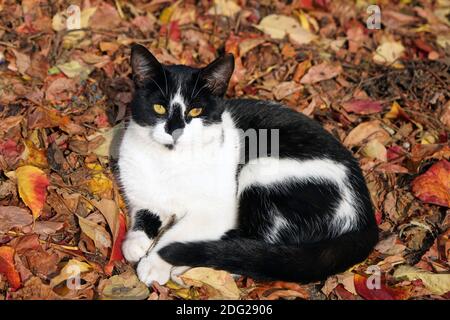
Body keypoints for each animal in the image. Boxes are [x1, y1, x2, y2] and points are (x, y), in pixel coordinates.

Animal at [118, 44, 378, 284]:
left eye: (196, 110)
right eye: (159, 108)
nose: (175, 130)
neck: (168, 161)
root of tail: (367, 218)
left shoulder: (216, 210)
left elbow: (176, 235)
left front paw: (155, 263)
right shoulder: (144, 195)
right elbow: (146, 212)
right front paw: (135, 242)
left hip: (262, 171)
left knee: (258, 250)